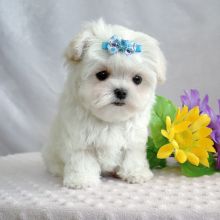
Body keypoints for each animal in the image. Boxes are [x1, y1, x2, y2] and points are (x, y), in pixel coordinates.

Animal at [41, 18, 166, 188]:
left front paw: (136, 173)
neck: (110, 120)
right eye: (101, 75)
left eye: (137, 79)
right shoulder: (80, 142)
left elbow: (133, 156)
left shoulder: (134, 140)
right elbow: (82, 160)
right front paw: (82, 179)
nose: (121, 92)